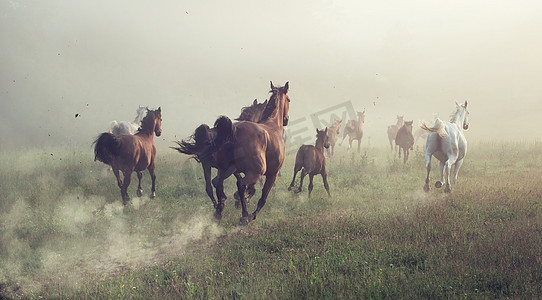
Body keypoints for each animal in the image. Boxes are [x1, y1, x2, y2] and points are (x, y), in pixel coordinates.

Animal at [210, 81, 292, 224]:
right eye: (288, 99)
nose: (286, 119)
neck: (273, 126)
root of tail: (234, 132)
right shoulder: (272, 174)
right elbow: (263, 196)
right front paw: (252, 214)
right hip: (255, 172)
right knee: (241, 185)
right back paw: (245, 215)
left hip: (226, 169)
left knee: (218, 183)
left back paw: (219, 211)